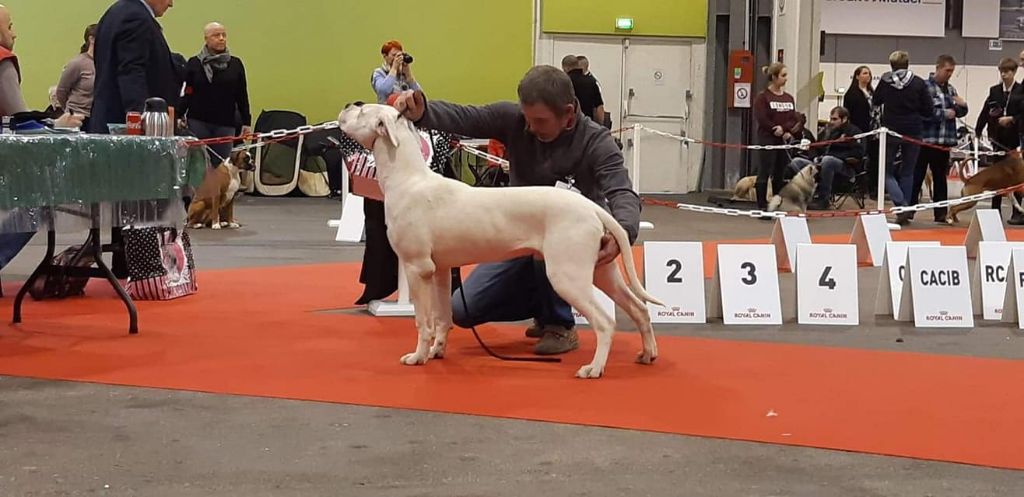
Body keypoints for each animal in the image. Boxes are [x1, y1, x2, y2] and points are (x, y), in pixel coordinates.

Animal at [335, 102, 663, 377]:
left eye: (362, 110)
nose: (349, 104)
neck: (408, 179)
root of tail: (592, 207)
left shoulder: (418, 269)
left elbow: (423, 321)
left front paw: (417, 357)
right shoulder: (439, 271)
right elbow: (442, 318)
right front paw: (437, 351)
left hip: (566, 275)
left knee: (605, 322)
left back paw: (593, 368)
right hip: (600, 269)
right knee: (639, 308)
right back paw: (647, 354)